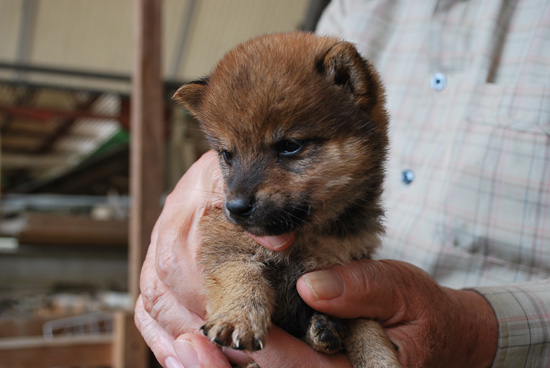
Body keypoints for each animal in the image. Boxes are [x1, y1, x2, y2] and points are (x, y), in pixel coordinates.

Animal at [176, 31, 402, 368]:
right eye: (227, 155)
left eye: (290, 146)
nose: (236, 208)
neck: (309, 236)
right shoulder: (225, 243)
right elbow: (239, 273)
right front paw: (239, 316)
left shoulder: (353, 263)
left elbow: (366, 324)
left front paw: (379, 357)